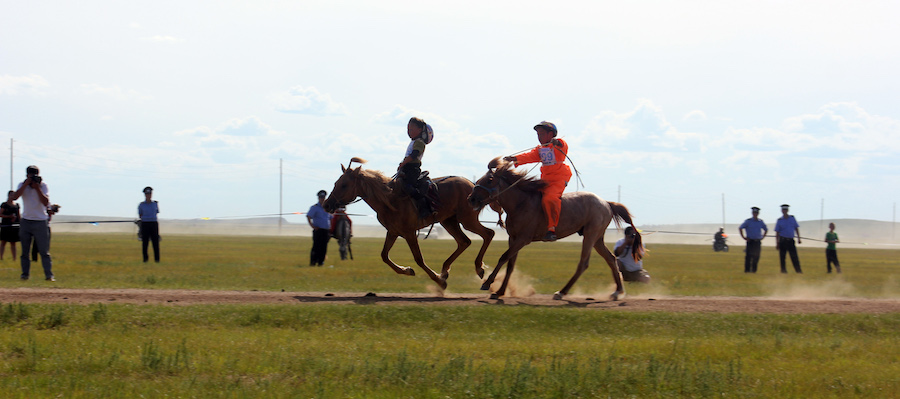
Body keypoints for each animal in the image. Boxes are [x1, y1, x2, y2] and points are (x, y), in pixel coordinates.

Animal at [324, 158, 500, 290]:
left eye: (344, 185)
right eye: (336, 183)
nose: (327, 204)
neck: (390, 200)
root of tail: (473, 186)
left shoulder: (409, 233)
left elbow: (419, 259)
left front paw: (439, 281)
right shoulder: (393, 232)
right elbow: (384, 256)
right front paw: (407, 270)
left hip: (467, 219)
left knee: (488, 234)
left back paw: (478, 268)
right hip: (449, 221)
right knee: (464, 241)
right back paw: (445, 270)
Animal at [468, 156, 644, 300]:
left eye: (490, 180)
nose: (471, 199)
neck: (520, 203)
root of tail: (606, 203)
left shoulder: (523, 239)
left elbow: (503, 257)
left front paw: (487, 283)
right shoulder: (513, 238)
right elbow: (510, 264)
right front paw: (500, 291)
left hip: (590, 235)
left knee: (583, 263)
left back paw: (562, 292)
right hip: (597, 239)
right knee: (611, 259)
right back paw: (617, 292)